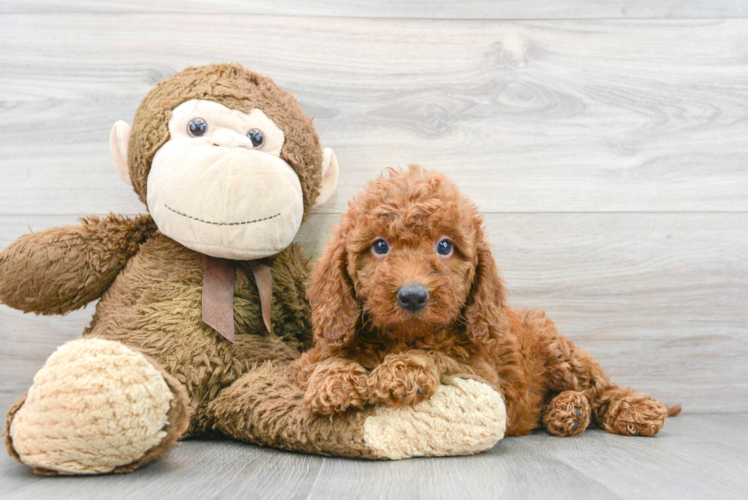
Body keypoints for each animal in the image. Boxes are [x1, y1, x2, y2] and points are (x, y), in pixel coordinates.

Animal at [296, 166, 680, 436]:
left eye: (445, 246)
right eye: (379, 246)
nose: (413, 295)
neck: (401, 336)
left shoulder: (481, 372)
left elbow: (440, 355)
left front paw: (402, 369)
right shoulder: (309, 358)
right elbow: (327, 358)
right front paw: (333, 381)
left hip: (563, 355)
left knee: (602, 388)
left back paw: (637, 409)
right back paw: (567, 411)